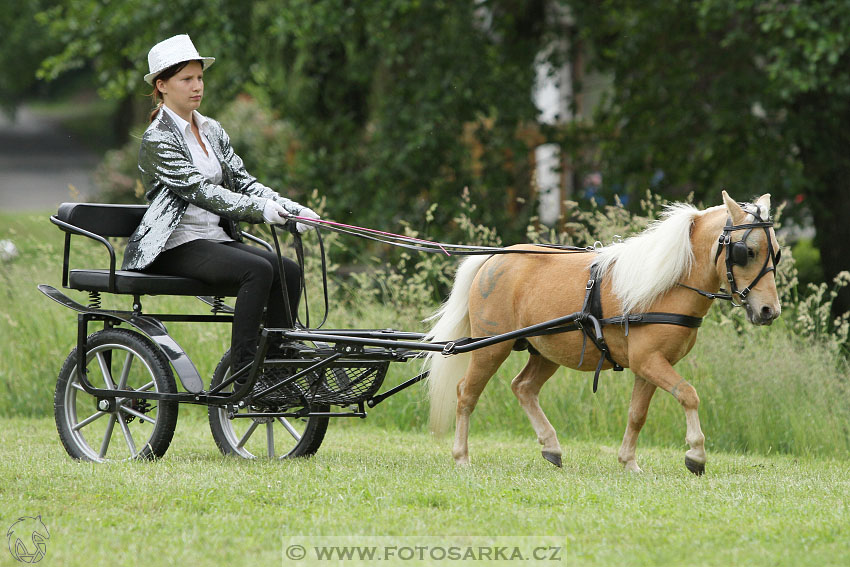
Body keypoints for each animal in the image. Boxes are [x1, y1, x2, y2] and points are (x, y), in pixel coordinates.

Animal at [424, 191, 780, 474]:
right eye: (746, 252)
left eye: (775, 251)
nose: (769, 311)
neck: (666, 285)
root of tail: (492, 259)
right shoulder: (649, 361)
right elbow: (689, 394)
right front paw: (696, 454)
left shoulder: (648, 365)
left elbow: (637, 414)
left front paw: (629, 462)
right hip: (490, 347)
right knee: (466, 393)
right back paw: (461, 457)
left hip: (547, 350)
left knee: (523, 387)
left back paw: (551, 446)